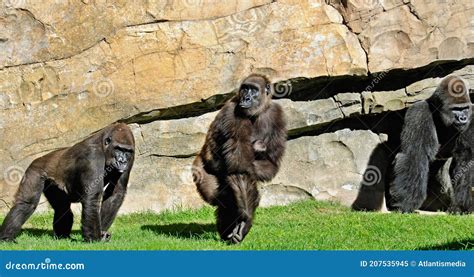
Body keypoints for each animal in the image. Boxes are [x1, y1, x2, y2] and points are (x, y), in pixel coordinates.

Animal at [0, 123, 135, 242]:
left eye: (127, 151)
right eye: (118, 149)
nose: (122, 161)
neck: (104, 146)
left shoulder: (131, 157)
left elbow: (116, 193)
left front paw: (102, 232)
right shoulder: (92, 156)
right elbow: (92, 197)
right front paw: (94, 238)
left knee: (61, 208)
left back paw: (62, 236)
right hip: (35, 169)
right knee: (26, 204)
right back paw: (6, 237)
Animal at [192, 74, 286, 244]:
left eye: (253, 90)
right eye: (245, 89)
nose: (246, 98)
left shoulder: (277, 114)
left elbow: (270, 163)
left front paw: (244, 221)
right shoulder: (234, 114)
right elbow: (239, 169)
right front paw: (244, 218)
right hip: (200, 166)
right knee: (221, 197)